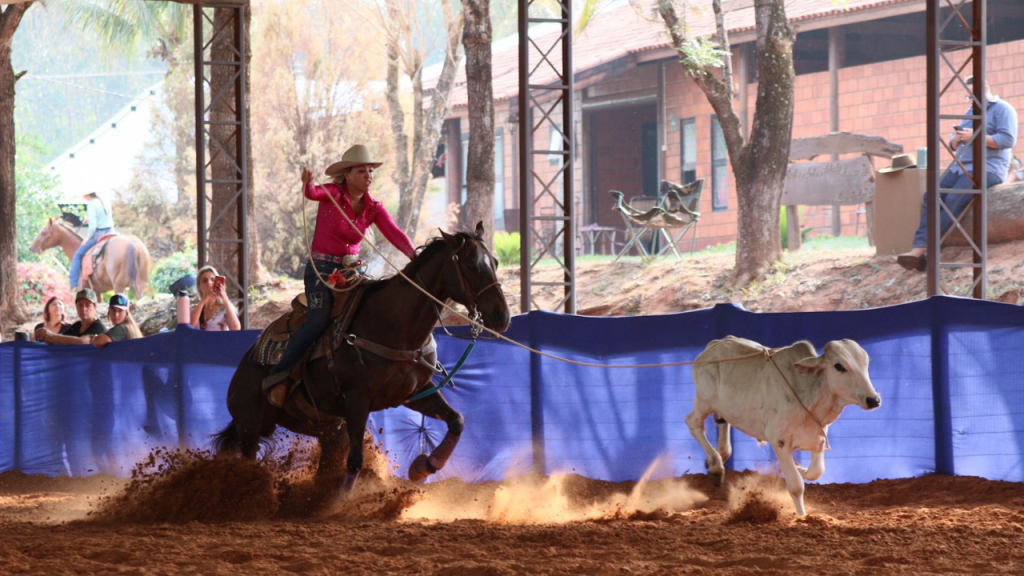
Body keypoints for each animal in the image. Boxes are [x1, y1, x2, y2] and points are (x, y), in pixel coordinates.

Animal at [212, 224, 512, 494]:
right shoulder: (358, 400)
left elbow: (456, 420)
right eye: (471, 265)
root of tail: (244, 365)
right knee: (250, 463)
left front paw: (423, 466)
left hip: (325, 428)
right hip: (250, 426)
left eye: (495, 262)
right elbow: (356, 461)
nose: (502, 316)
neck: (394, 323)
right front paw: (338, 506)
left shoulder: (415, 393)